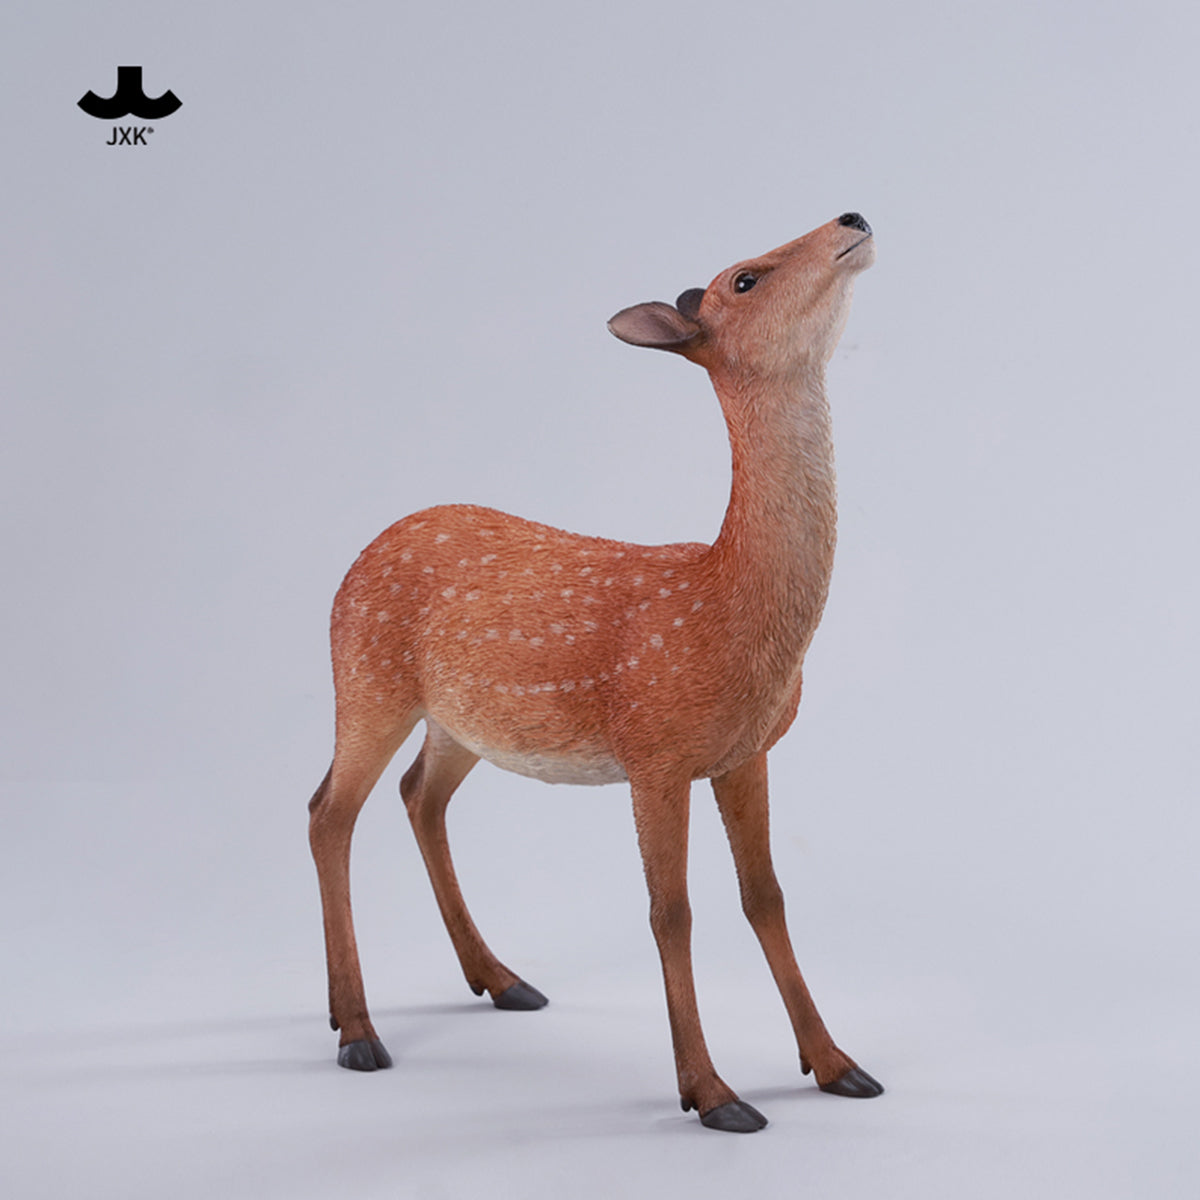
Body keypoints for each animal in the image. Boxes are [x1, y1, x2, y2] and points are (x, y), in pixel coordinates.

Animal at [307, 213, 882, 1132]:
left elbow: (766, 895)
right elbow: (671, 913)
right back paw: (357, 1030)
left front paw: (836, 1064)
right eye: (746, 278)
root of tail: (362, 555)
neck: (730, 608)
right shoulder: (655, 750)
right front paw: (711, 1092)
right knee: (329, 811)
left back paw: (500, 979)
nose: (851, 218)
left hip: (461, 719)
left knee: (417, 796)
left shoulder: (746, 752)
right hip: (365, 677)